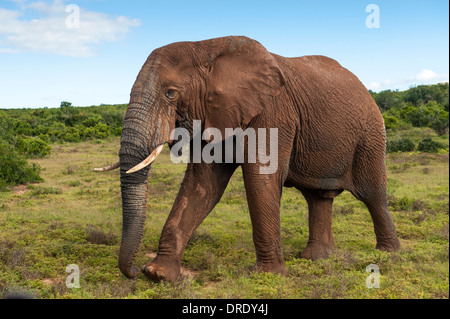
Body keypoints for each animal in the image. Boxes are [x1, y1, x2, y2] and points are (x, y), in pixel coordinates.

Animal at [96, 36, 400, 284]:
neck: (206, 47)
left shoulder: (273, 112)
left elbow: (260, 180)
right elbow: (202, 185)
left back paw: (388, 253)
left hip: (370, 134)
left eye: (170, 93)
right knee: (318, 198)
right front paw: (159, 275)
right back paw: (316, 258)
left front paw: (268, 276)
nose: (134, 272)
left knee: (372, 194)